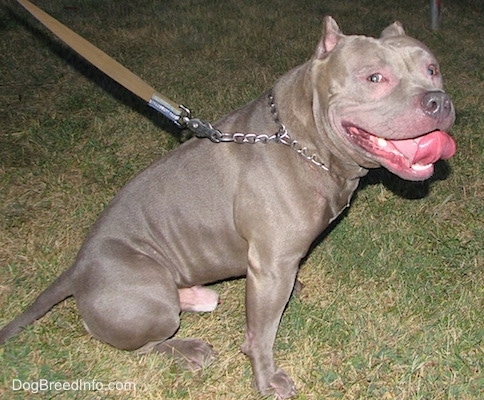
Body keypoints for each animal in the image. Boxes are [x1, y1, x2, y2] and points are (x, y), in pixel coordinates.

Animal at [0, 16, 456, 400]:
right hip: (151, 298)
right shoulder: (270, 267)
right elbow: (262, 337)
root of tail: (77, 268)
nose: (437, 101)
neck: (304, 139)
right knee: (147, 344)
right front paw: (267, 379)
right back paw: (186, 348)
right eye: (374, 77)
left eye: (432, 69)